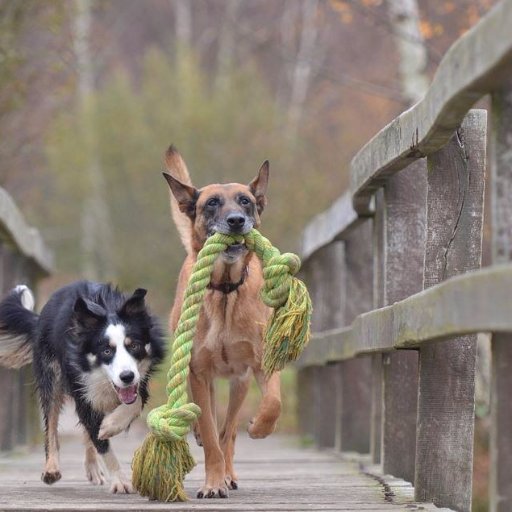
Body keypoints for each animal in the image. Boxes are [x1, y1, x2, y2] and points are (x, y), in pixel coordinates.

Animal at [0, 282, 165, 494]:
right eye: (106, 351)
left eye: (134, 346)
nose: (127, 377)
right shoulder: (82, 389)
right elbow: (100, 442)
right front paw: (120, 481)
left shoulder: (140, 381)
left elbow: (134, 403)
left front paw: (110, 425)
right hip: (51, 375)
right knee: (51, 423)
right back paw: (51, 469)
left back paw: (92, 466)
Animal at [163, 148, 282, 500]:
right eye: (212, 203)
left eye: (245, 201)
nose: (236, 221)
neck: (226, 290)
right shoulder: (199, 372)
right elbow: (210, 435)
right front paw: (212, 483)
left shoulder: (261, 364)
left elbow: (272, 402)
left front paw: (259, 427)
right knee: (212, 427)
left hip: (239, 383)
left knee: (228, 430)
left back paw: (231, 471)